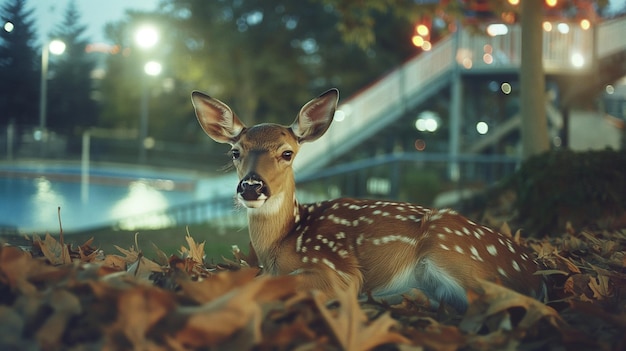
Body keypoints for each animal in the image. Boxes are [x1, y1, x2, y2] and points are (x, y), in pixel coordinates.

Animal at [189, 88, 540, 314]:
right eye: (235, 152)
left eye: (287, 153)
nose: (251, 187)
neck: (280, 244)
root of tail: (532, 266)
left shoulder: (335, 270)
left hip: (453, 253)